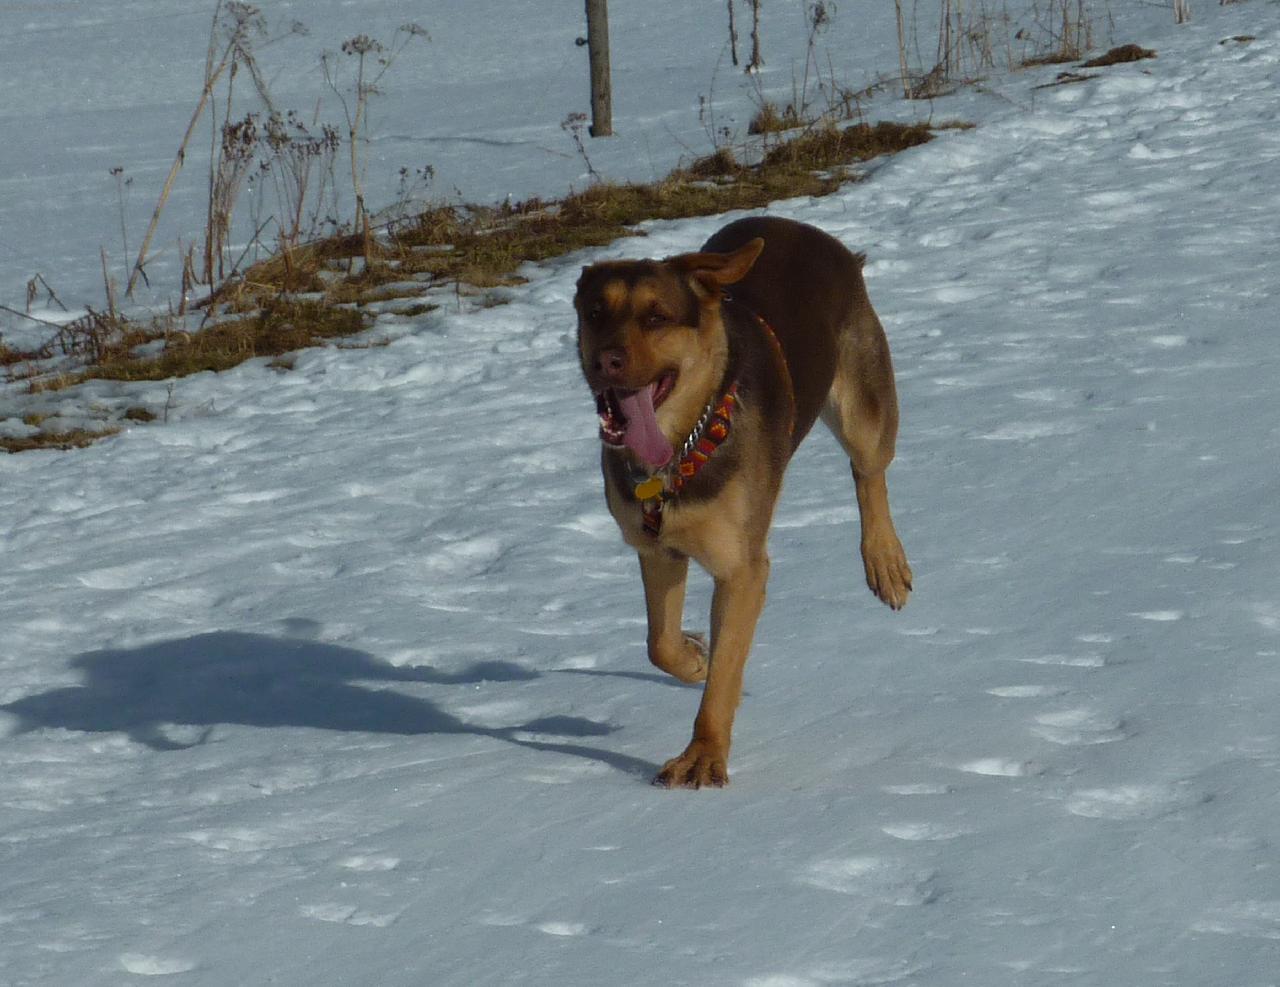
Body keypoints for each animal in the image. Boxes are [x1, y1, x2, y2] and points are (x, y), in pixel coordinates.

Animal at [575, 216, 912, 788]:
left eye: (657, 317)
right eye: (595, 313)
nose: (606, 361)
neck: (677, 453)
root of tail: (814, 234)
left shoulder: (742, 570)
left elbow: (725, 677)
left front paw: (703, 755)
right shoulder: (657, 549)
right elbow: (660, 644)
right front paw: (694, 658)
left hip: (862, 399)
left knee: (869, 470)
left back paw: (885, 561)